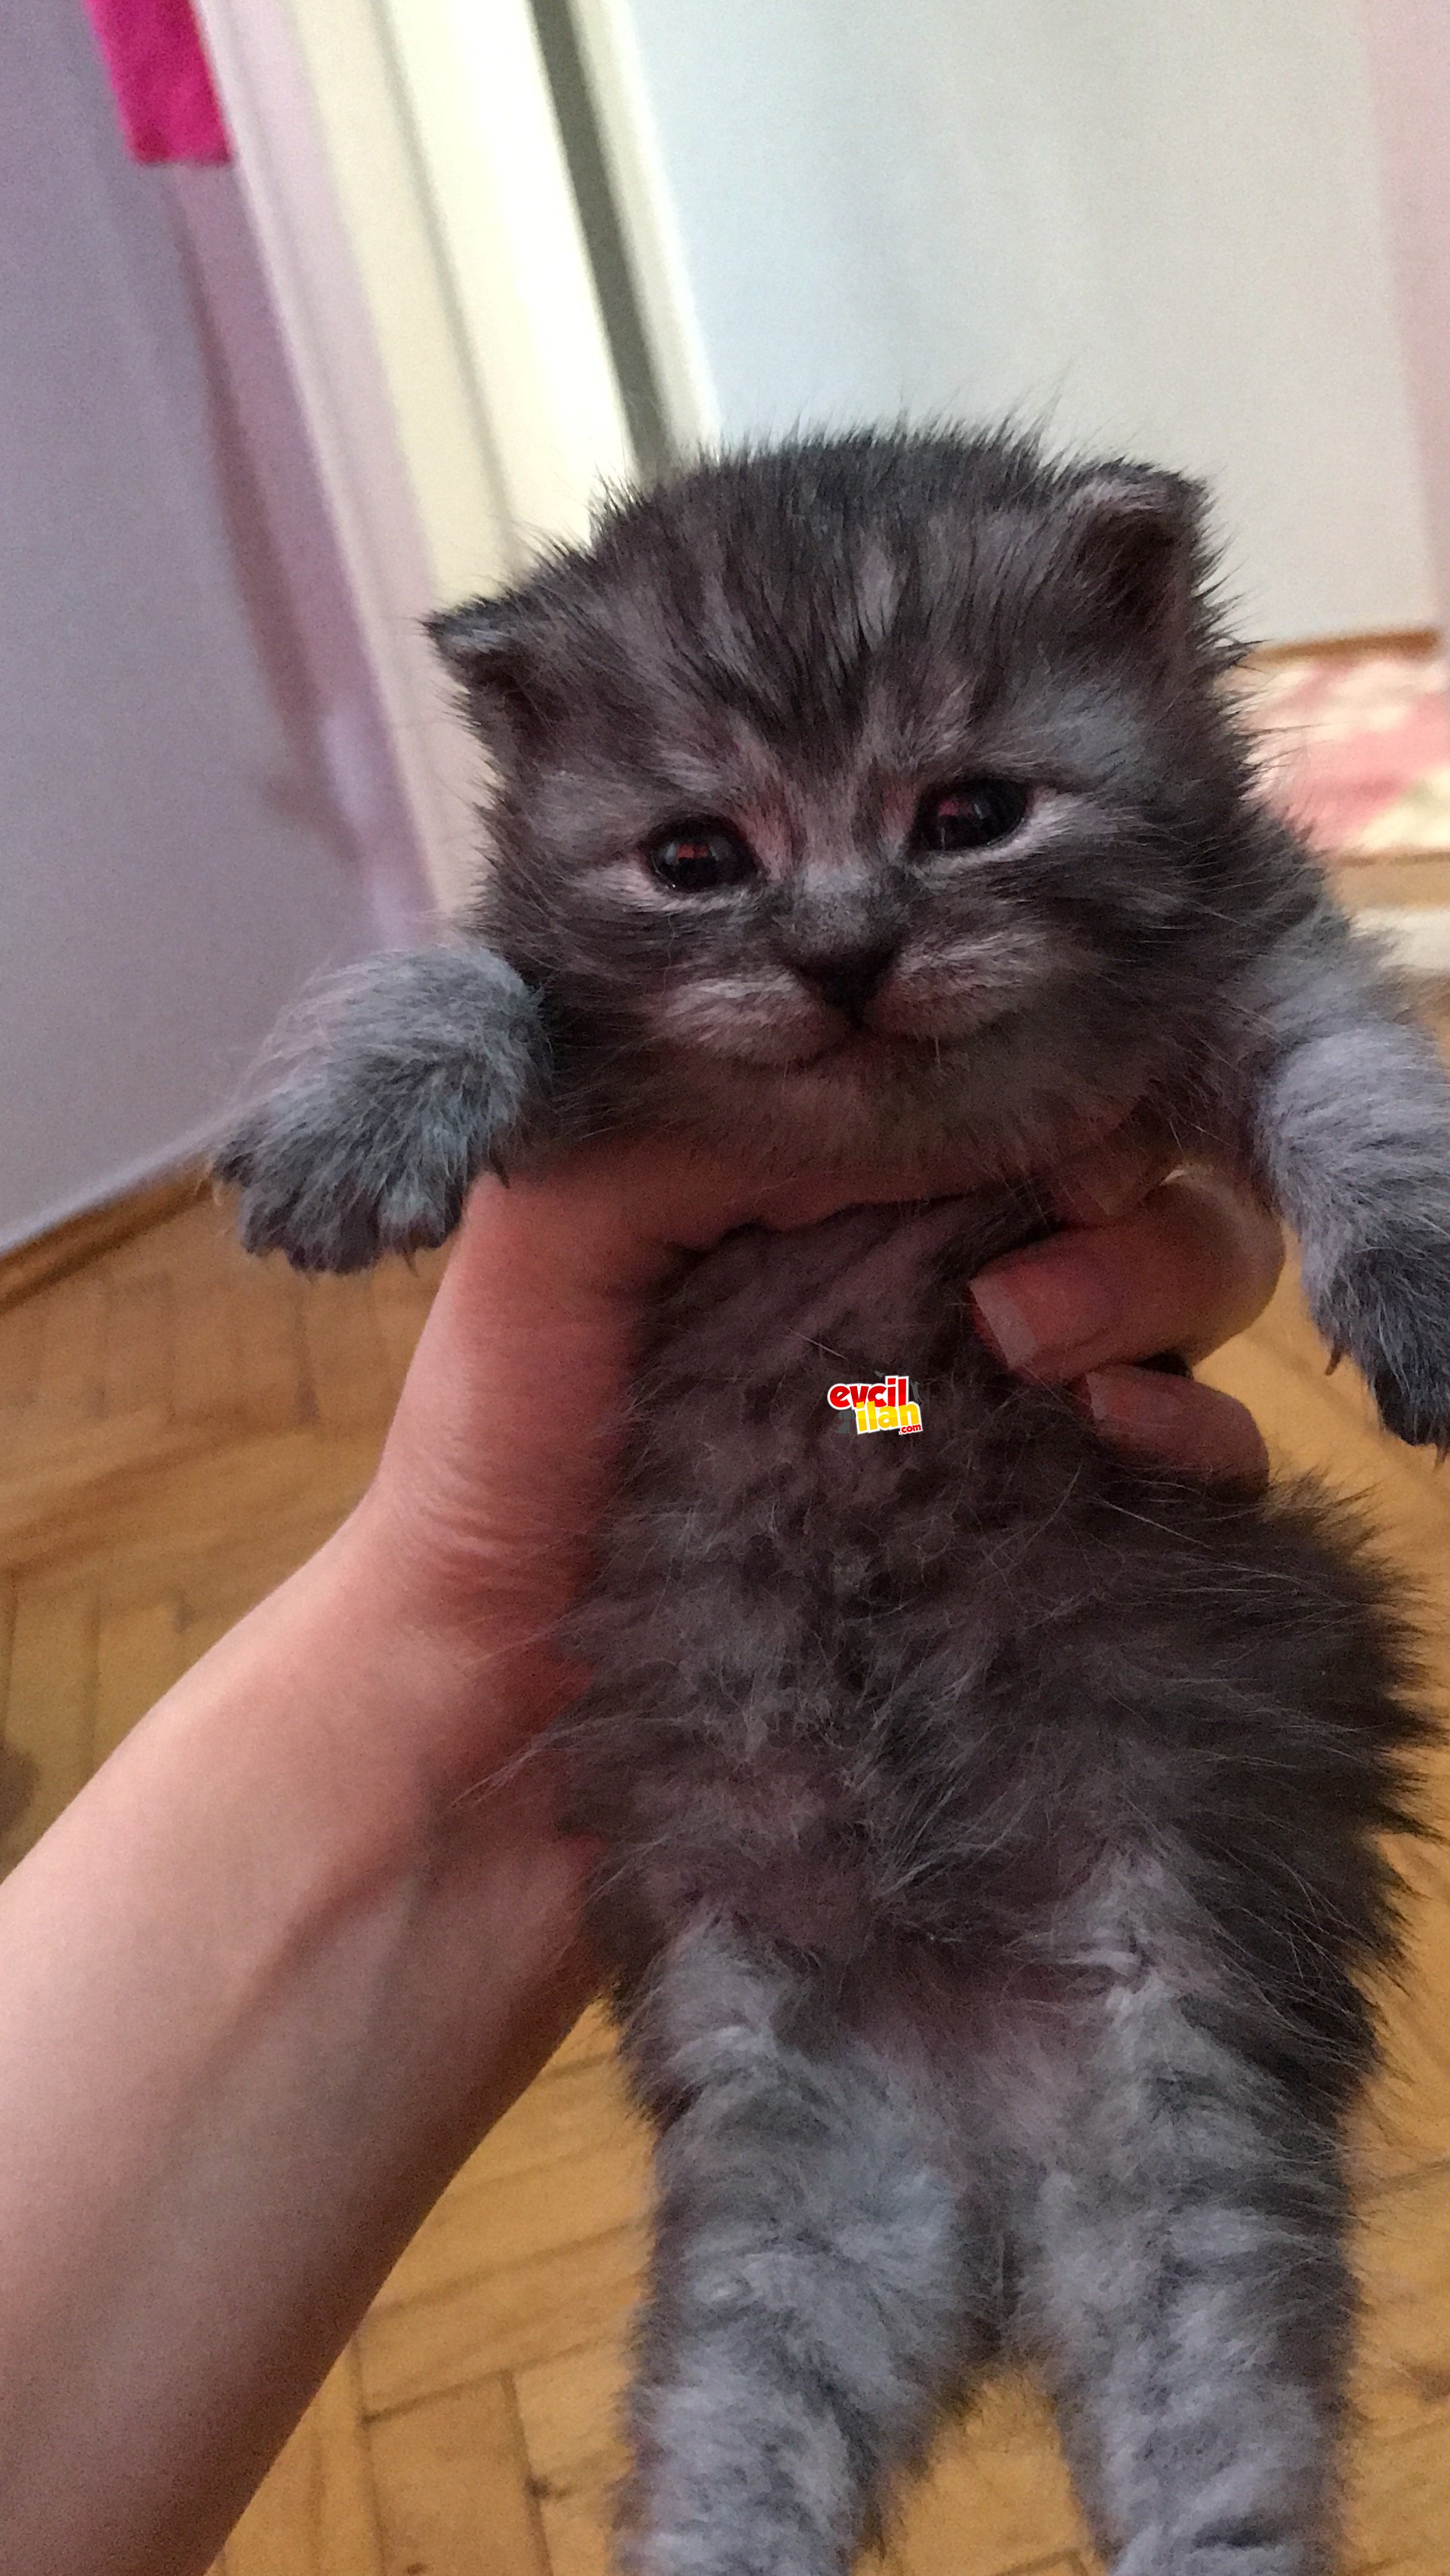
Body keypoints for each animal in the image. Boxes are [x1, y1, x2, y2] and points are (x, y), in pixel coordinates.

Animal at [214, 433, 1450, 2565]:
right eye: (696, 858)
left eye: (968, 815)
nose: (843, 951)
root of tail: (989, 2168)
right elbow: (457, 965)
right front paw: (355, 1107)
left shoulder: (1258, 971)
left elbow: (1356, 1080)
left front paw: (1418, 1265)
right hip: (781, 2218)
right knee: (738, 2458)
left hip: (1184, 2130)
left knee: (1216, 2436)